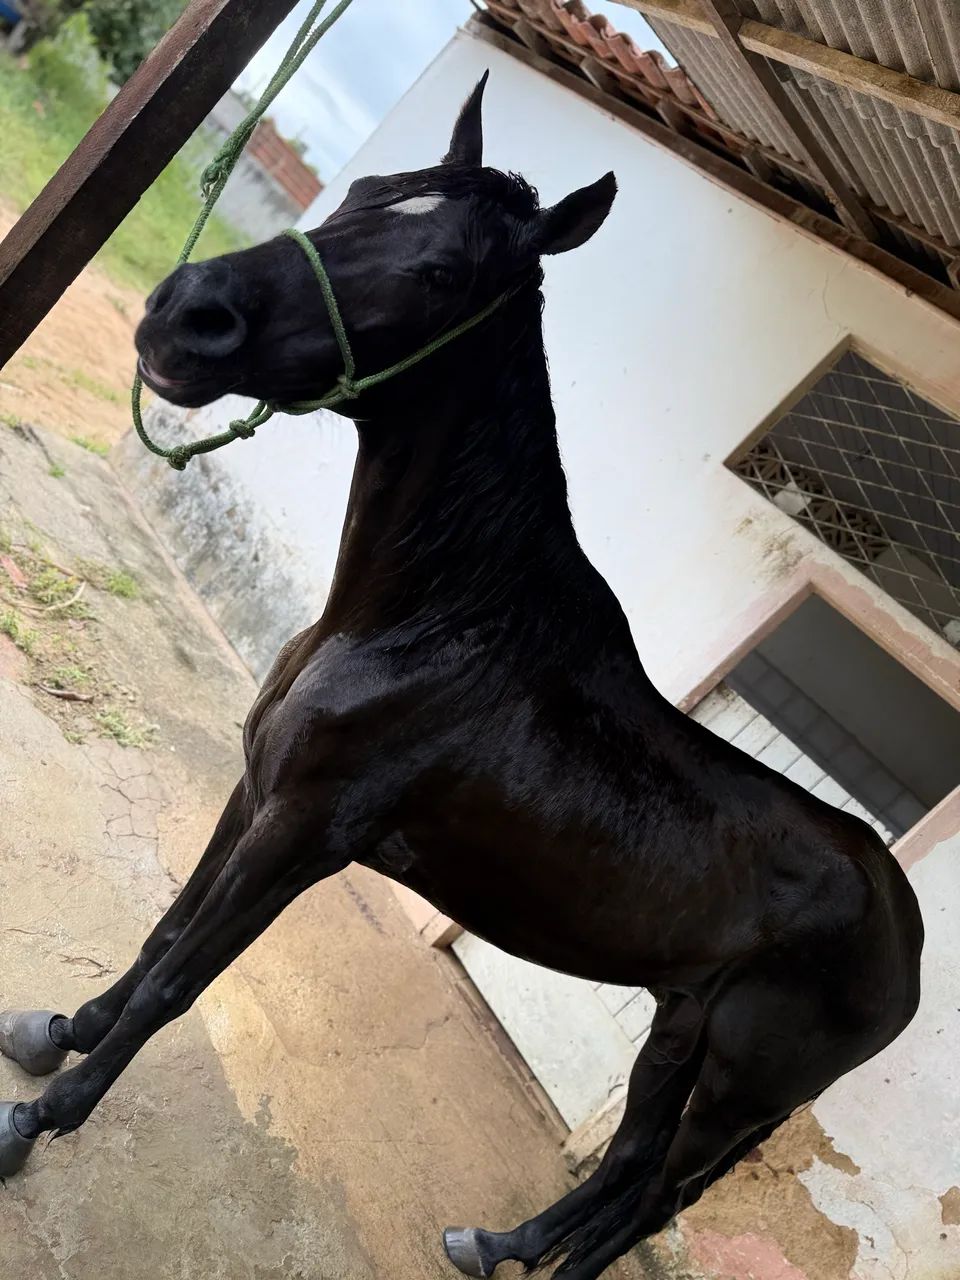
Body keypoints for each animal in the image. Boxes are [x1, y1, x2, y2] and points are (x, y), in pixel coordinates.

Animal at [0, 76, 922, 1280]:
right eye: (359, 195)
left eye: (443, 273)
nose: (188, 312)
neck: (439, 623)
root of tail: (908, 940)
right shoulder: (259, 792)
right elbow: (165, 930)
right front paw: (55, 1033)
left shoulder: (305, 834)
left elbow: (180, 979)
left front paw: (39, 1120)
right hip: (678, 1031)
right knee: (626, 1168)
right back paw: (493, 1242)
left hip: (739, 1083)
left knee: (651, 1197)